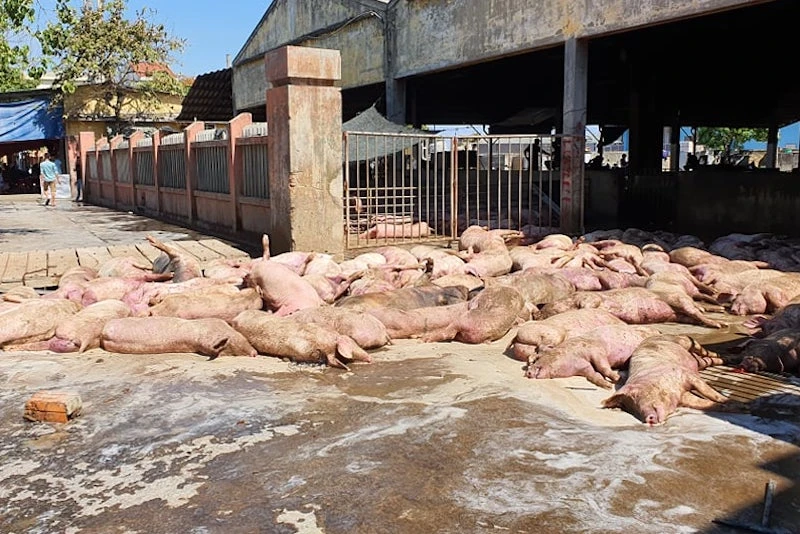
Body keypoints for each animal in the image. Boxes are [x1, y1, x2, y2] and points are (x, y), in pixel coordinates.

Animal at [526, 324, 661, 388]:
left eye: (538, 360)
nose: (528, 372)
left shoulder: (596, 351)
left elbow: (604, 367)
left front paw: (618, 379)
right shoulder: (584, 368)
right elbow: (594, 376)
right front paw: (607, 386)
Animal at [602, 334, 731, 425]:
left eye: (635, 396)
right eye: (631, 408)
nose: (648, 419)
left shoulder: (686, 375)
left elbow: (710, 393)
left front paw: (726, 400)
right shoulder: (684, 397)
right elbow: (703, 403)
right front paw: (730, 406)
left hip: (686, 341)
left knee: (705, 351)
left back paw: (724, 358)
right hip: (700, 362)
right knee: (707, 361)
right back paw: (725, 360)